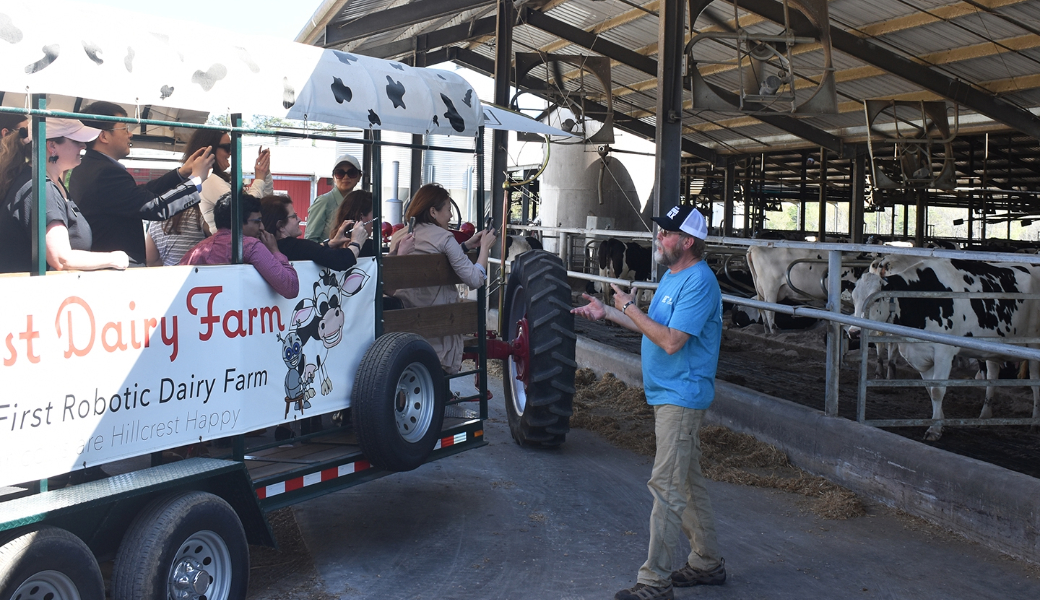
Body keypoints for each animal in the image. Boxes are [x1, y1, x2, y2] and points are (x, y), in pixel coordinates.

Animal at [848, 255, 1035, 440]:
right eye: (854, 298)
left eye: (877, 299)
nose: (854, 332)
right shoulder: (920, 356)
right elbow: (930, 389)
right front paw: (939, 421)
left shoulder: (944, 352)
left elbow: (937, 390)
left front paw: (934, 429)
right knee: (992, 377)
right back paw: (984, 416)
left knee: (1034, 382)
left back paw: (1033, 422)